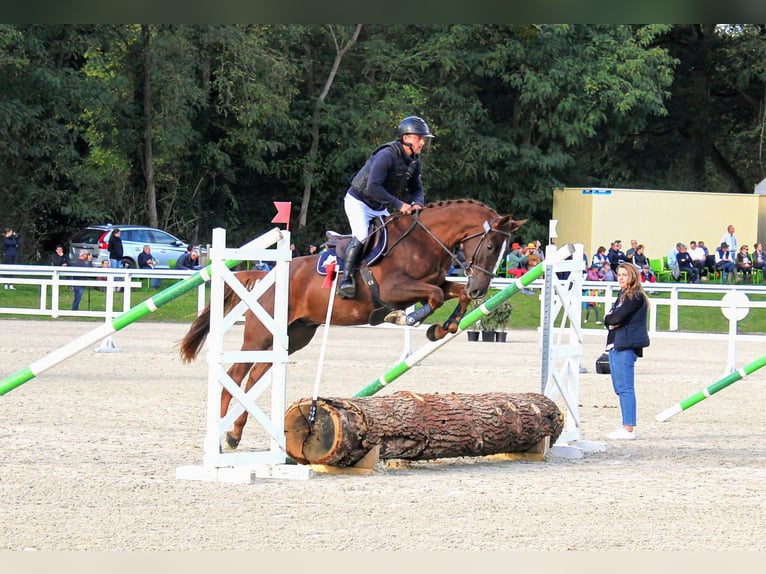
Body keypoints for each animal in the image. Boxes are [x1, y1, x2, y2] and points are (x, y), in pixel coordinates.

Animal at [180, 200, 528, 452]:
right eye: (489, 247)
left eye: (502, 251)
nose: (480, 289)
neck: (423, 241)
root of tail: (264, 274)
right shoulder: (394, 289)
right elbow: (436, 295)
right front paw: (406, 318)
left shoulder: (436, 282)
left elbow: (451, 293)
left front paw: (441, 328)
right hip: (260, 334)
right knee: (237, 373)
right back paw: (222, 438)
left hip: (293, 336)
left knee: (253, 377)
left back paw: (234, 433)